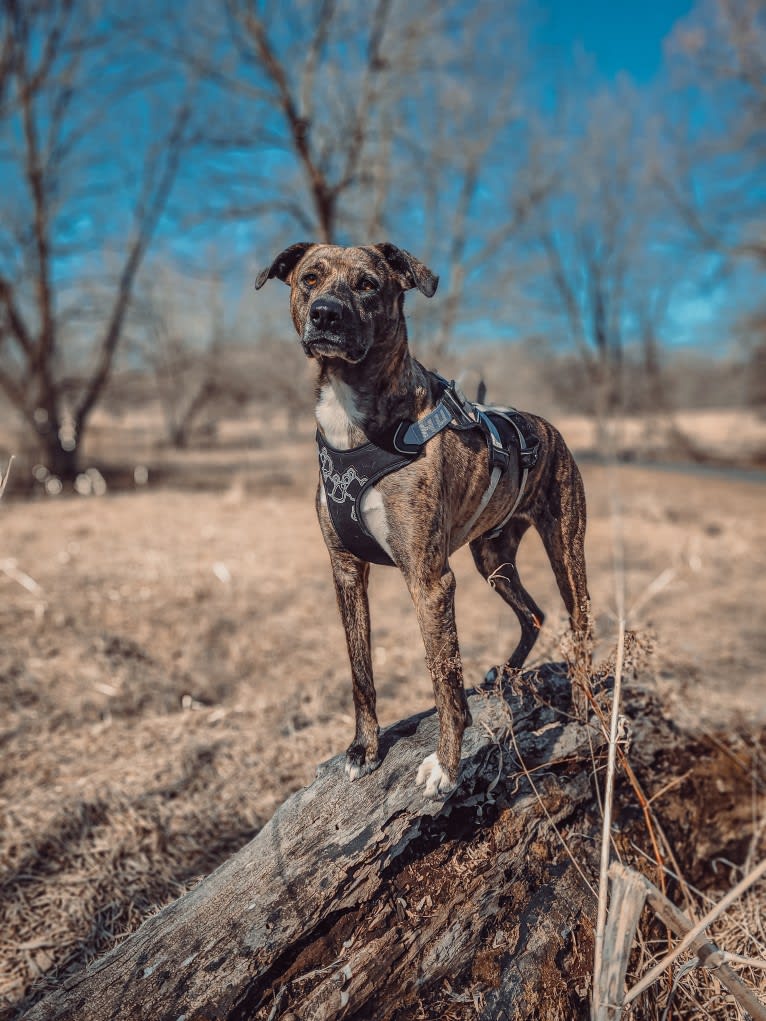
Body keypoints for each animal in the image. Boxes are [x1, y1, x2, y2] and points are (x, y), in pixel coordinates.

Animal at [258, 240, 592, 796]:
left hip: (566, 551)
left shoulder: (430, 579)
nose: (325, 313)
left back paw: (589, 708)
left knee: (579, 623)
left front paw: (447, 766)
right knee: (534, 613)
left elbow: (444, 682)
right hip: (492, 558)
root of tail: (546, 425)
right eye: (310, 278)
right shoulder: (346, 571)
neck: (352, 420)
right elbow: (361, 673)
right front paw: (364, 748)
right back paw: (504, 675)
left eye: (368, 284)